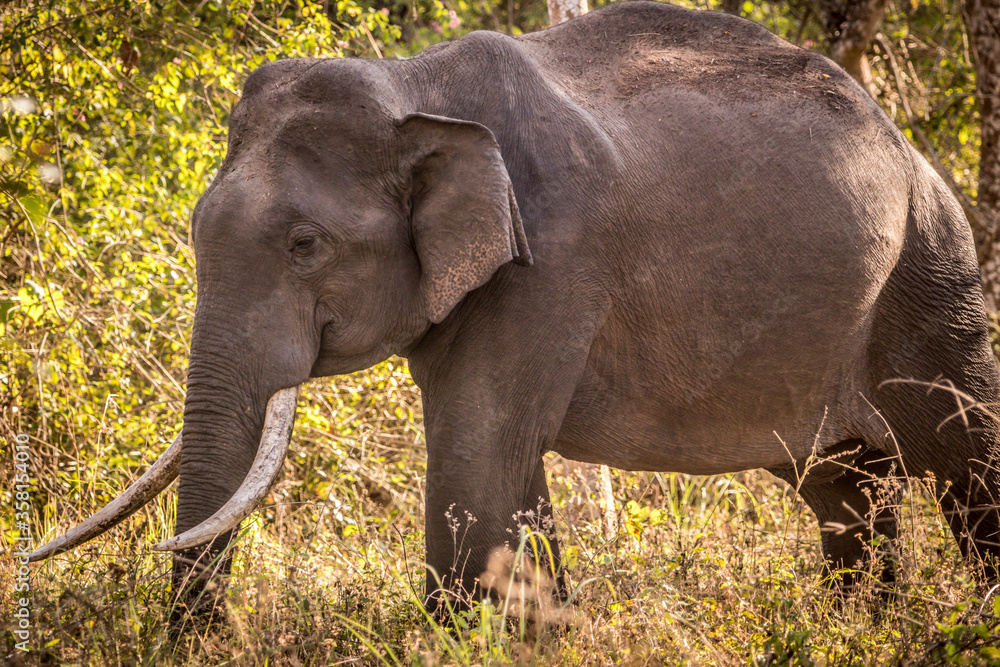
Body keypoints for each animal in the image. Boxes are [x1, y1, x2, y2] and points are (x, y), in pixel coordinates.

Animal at [32, 1, 1000, 614]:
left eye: (305, 245)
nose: (200, 634)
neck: (413, 88)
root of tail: (901, 139)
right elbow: (499, 465)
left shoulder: (551, 262)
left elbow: (479, 453)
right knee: (845, 491)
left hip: (928, 274)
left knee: (963, 459)